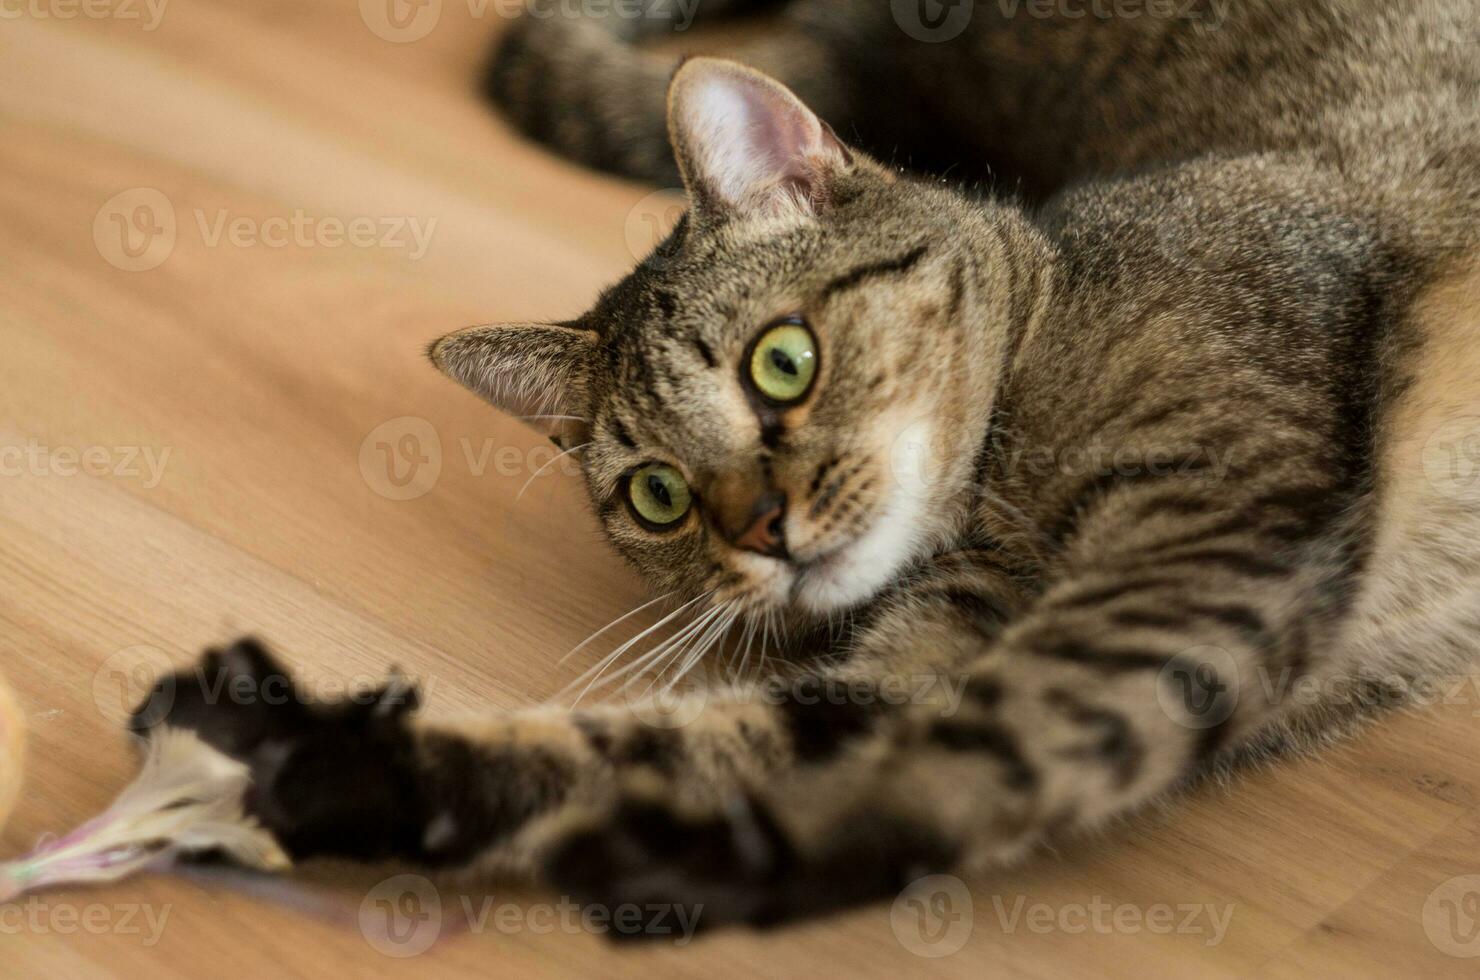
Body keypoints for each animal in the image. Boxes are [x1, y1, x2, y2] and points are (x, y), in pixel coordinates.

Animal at [130, 0, 1480, 935]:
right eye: (658, 494)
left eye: (782, 363)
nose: (762, 529)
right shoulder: (898, 667)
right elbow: (656, 747)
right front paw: (330, 765)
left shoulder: (1205, 539)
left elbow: (995, 734)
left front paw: (718, 859)